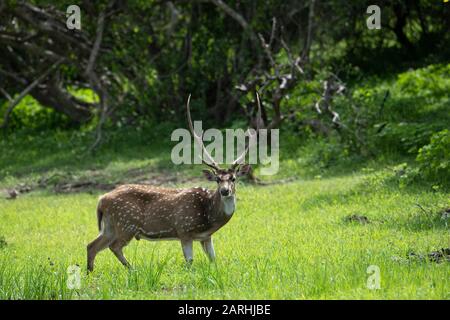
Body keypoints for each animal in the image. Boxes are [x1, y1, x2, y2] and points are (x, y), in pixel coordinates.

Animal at [86, 94, 260, 272]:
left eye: (233, 178)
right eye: (218, 179)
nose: (225, 191)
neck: (209, 217)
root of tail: (102, 199)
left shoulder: (206, 237)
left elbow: (213, 260)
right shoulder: (184, 230)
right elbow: (189, 262)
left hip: (110, 226)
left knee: (92, 245)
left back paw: (91, 272)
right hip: (127, 223)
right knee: (114, 246)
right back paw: (132, 269)